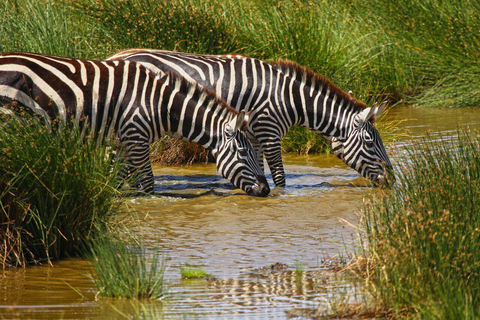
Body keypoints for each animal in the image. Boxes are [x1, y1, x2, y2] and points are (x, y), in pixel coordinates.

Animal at [0, 51, 270, 196]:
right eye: (244, 153)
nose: (267, 190)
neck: (159, 104)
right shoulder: (136, 136)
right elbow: (148, 182)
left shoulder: (122, 142)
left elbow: (116, 179)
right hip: (10, 119)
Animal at [105, 50, 394, 188]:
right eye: (371, 142)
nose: (393, 181)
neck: (291, 99)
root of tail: (115, 56)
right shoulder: (269, 131)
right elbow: (279, 175)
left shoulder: (254, 136)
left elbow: (259, 169)